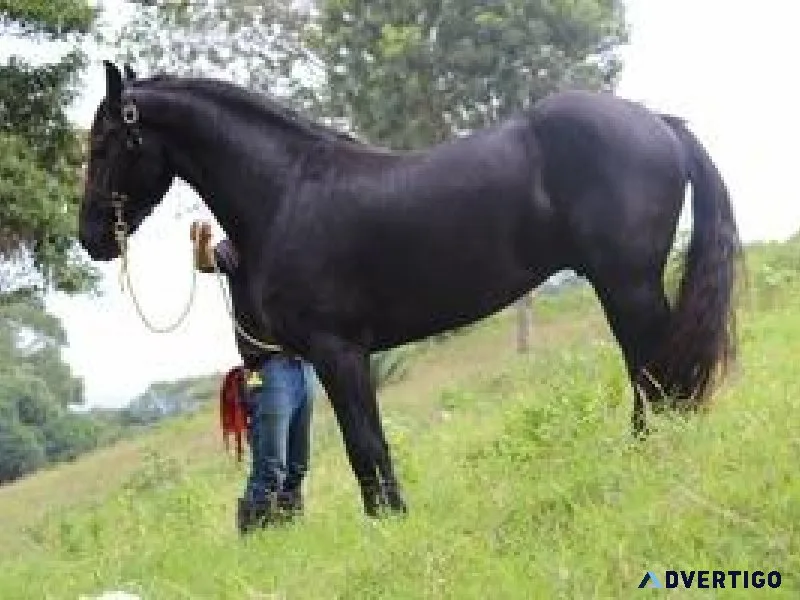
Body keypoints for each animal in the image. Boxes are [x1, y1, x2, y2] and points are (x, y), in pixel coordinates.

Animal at [78, 61, 741, 517]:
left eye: (103, 143)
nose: (91, 238)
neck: (287, 191)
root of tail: (656, 122)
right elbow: (368, 448)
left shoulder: (339, 352)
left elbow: (366, 448)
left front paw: (389, 526)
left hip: (626, 284)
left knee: (655, 371)